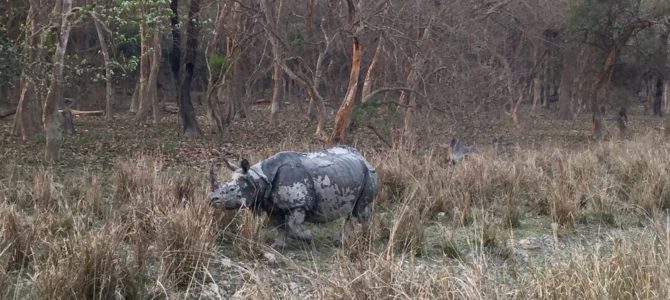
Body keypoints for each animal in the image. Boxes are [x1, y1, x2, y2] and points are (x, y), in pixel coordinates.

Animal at [209, 145, 378, 248]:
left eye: (231, 189)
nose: (212, 199)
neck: (259, 178)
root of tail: (363, 157)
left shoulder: (298, 204)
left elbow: (291, 225)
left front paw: (308, 237)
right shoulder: (272, 204)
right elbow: (279, 225)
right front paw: (278, 245)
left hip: (369, 174)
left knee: (358, 210)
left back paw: (348, 241)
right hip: (352, 172)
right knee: (358, 210)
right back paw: (359, 237)